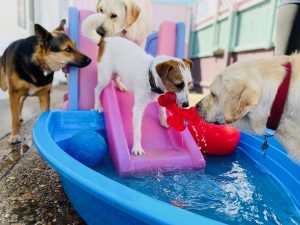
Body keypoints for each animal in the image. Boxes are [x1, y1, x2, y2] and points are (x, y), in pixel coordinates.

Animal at [81, 13, 192, 156]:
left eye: (189, 85)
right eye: (178, 84)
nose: (186, 105)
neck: (151, 77)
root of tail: (103, 41)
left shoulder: (160, 97)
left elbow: (162, 109)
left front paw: (163, 120)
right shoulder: (138, 109)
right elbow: (138, 131)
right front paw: (137, 147)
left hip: (116, 71)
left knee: (116, 78)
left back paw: (121, 86)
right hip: (105, 77)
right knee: (97, 90)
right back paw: (97, 105)